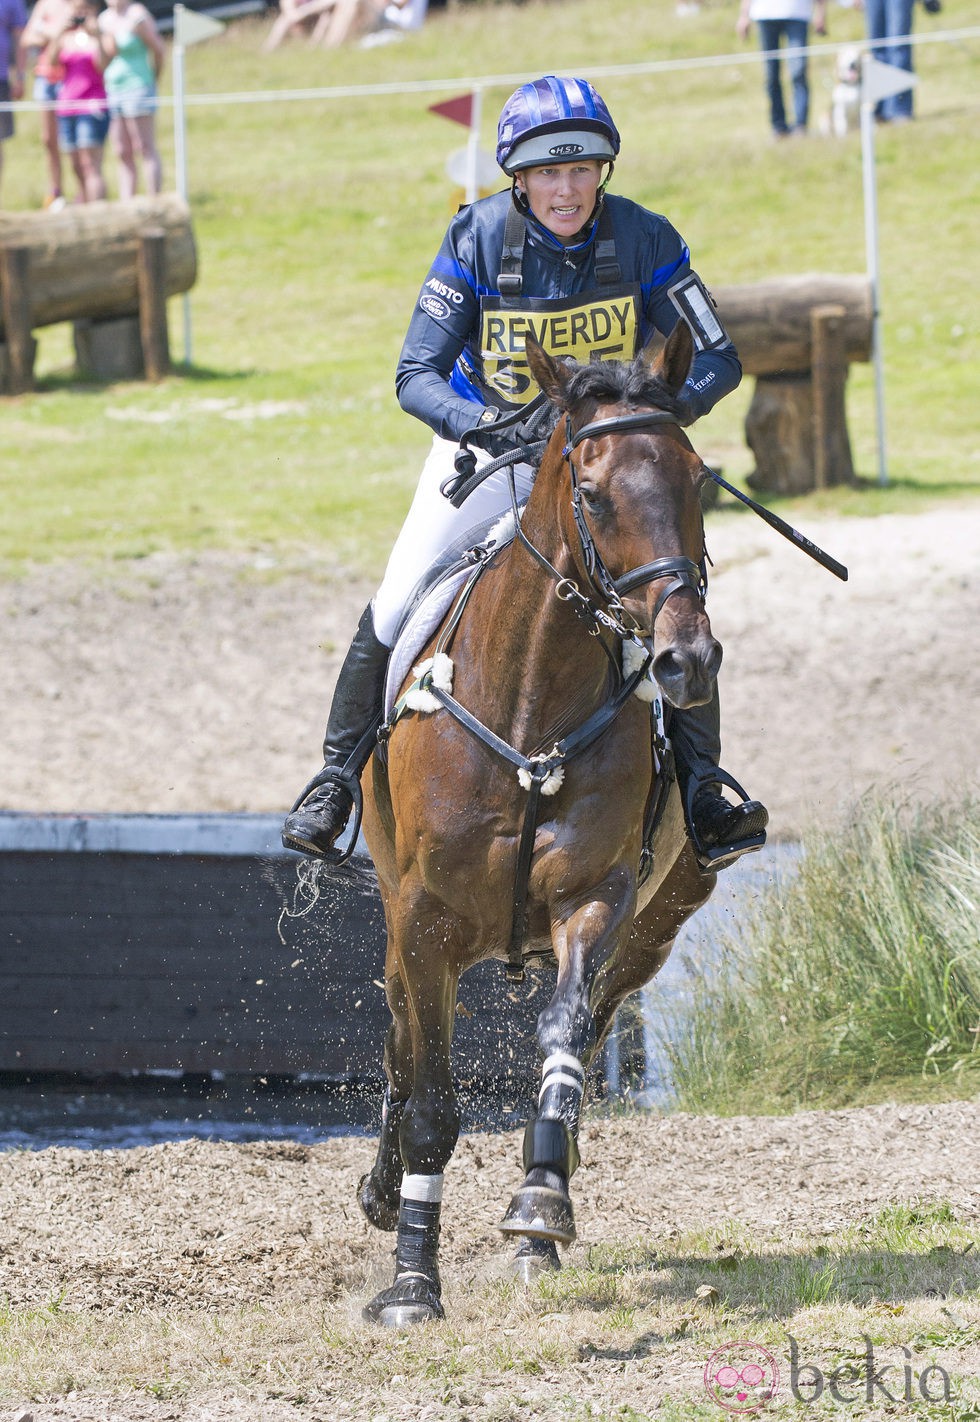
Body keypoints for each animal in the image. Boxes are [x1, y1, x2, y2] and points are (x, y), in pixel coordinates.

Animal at [357, 319, 719, 1319]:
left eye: (698, 479)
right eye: (591, 493)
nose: (686, 660)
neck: (529, 707)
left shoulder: (596, 897)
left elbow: (562, 1041)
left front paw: (540, 1205)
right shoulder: (423, 921)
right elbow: (431, 1098)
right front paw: (413, 1283)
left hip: (657, 924)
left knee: (591, 1026)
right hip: (400, 917)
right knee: (400, 1046)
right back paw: (382, 1188)